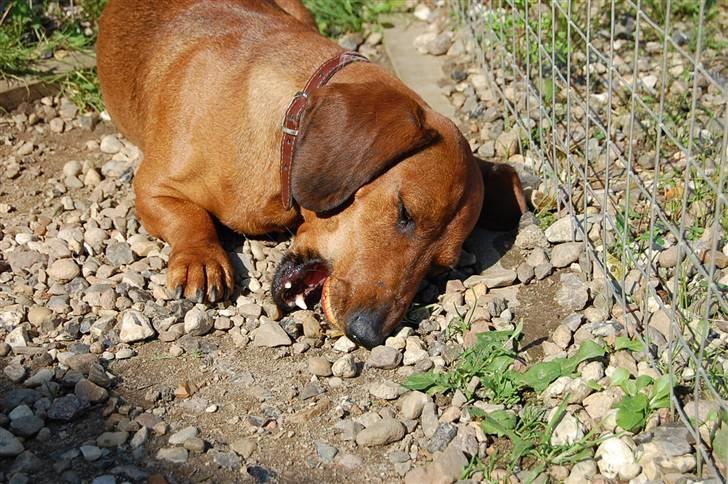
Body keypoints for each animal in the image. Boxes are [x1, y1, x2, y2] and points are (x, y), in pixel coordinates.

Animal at [98, 0, 528, 348]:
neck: (284, 129)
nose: (367, 333)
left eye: (440, 267)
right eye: (404, 212)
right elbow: (188, 217)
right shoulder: (150, 187)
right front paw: (200, 259)